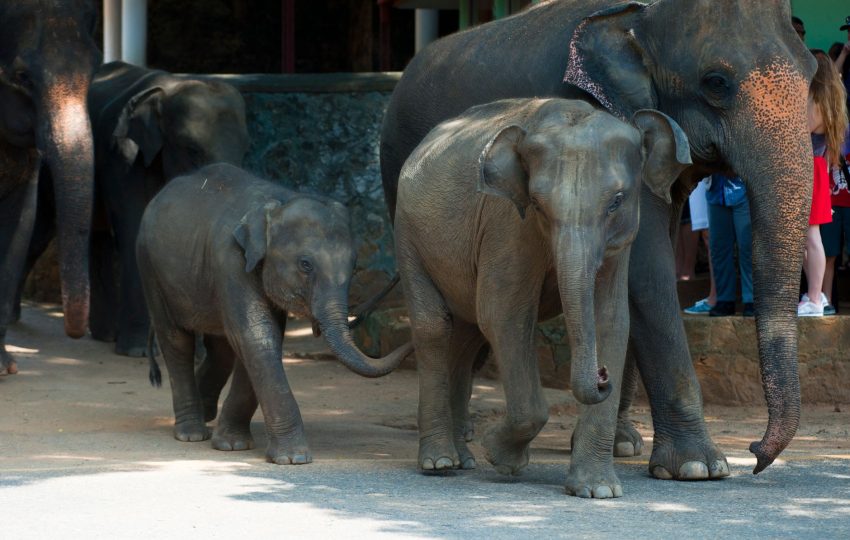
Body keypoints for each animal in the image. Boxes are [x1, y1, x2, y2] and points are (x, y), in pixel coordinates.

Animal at [19, 61, 251, 357]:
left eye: (245, 151)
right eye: (192, 150)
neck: (169, 90)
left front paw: (197, 353)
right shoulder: (124, 157)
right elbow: (134, 232)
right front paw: (136, 351)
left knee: (97, 238)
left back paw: (105, 335)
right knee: (41, 231)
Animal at [137, 163, 412, 464]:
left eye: (353, 266)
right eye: (305, 265)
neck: (279, 202)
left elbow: (261, 339)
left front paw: (233, 444)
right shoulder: (229, 261)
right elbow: (256, 336)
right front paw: (293, 458)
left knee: (220, 348)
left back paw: (207, 412)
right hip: (150, 268)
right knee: (176, 340)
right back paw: (192, 433)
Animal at [395, 98, 690, 497]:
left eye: (617, 201)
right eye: (536, 203)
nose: (602, 376)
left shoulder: (621, 241)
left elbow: (612, 319)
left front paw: (597, 491)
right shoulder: (506, 223)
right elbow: (503, 313)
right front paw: (500, 456)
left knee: (466, 335)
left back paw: (462, 460)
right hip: (408, 234)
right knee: (436, 327)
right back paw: (440, 463)